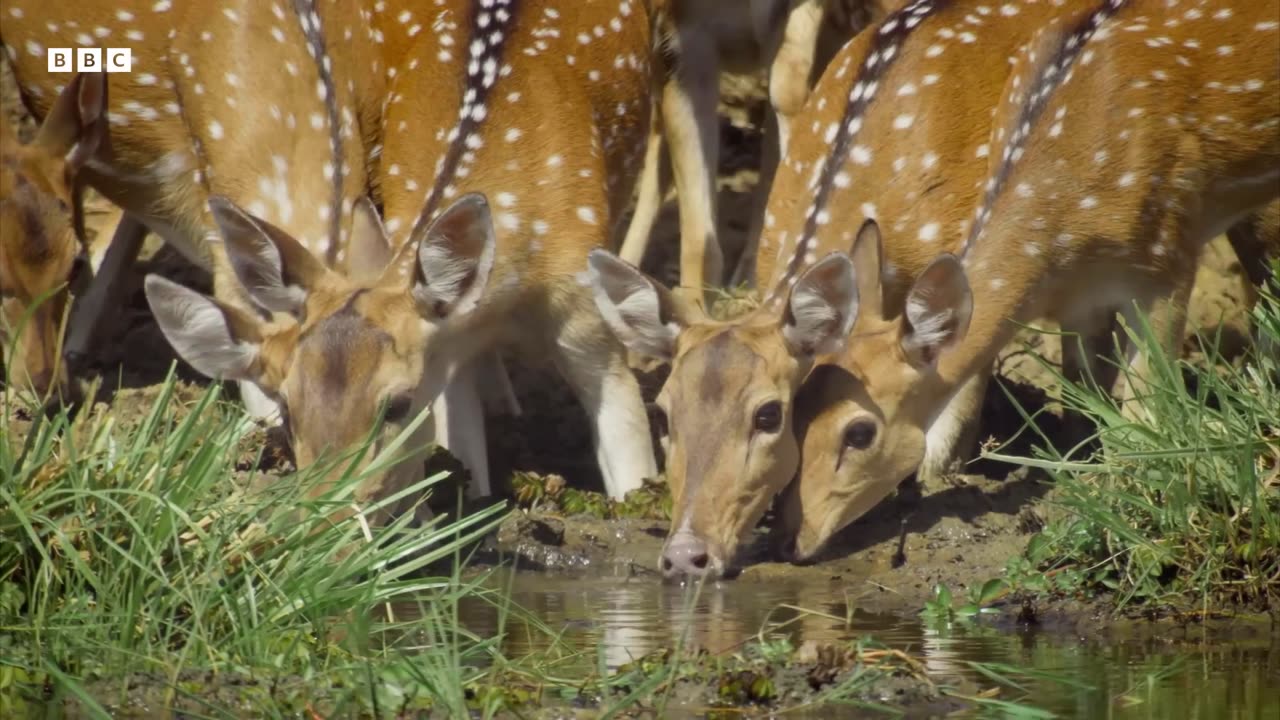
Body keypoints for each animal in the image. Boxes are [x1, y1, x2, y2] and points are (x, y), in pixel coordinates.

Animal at [778, 0, 1280, 561]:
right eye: (798, 412)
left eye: (859, 432)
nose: (792, 538)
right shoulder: (1084, 299)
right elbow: (1084, 401)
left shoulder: (1171, 250)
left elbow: (1147, 407)